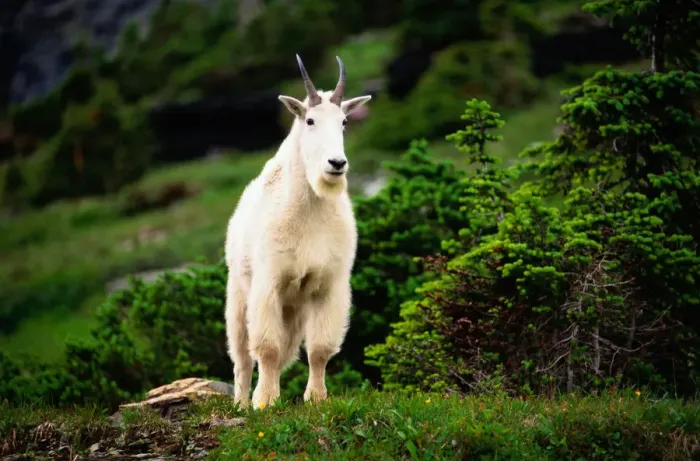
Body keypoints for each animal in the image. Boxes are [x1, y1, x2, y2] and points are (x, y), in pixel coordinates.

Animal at [224, 54, 372, 409]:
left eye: (344, 122)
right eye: (310, 121)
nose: (336, 163)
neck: (310, 211)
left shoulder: (328, 286)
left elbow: (319, 350)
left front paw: (316, 398)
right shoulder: (269, 283)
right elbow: (266, 347)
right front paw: (265, 402)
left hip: (294, 310)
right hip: (238, 296)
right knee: (242, 358)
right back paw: (241, 402)